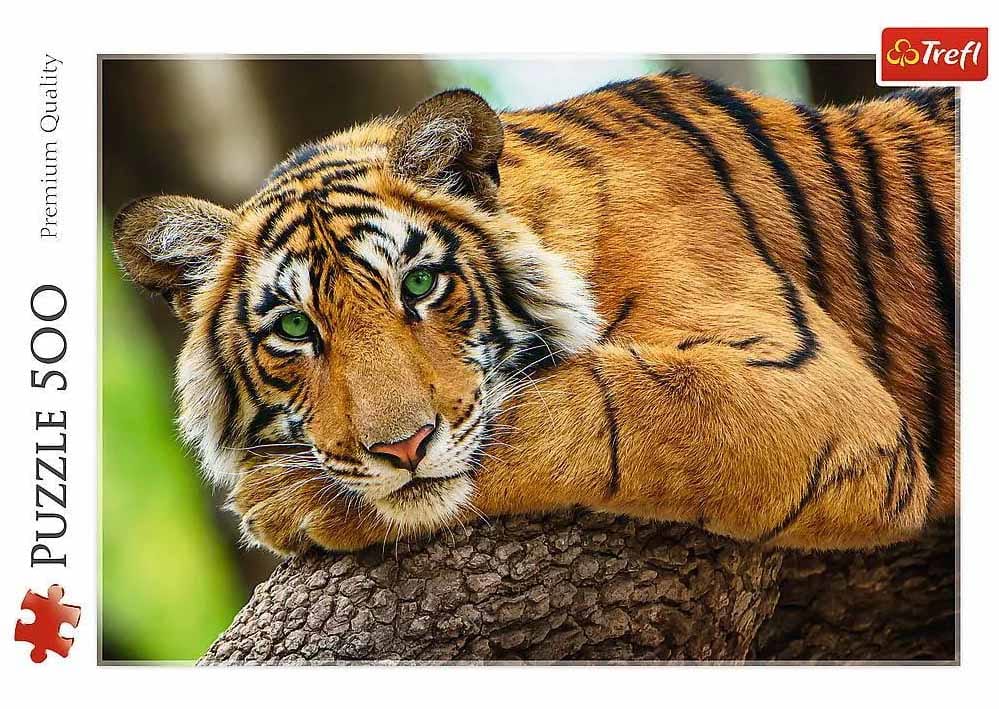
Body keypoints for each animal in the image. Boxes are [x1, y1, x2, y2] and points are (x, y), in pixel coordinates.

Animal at [112, 71, 956, 555]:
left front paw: (290, 499)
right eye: (293, 328)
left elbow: (597, 404)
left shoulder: (818, 392)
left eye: (420, 284)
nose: (401, 447)